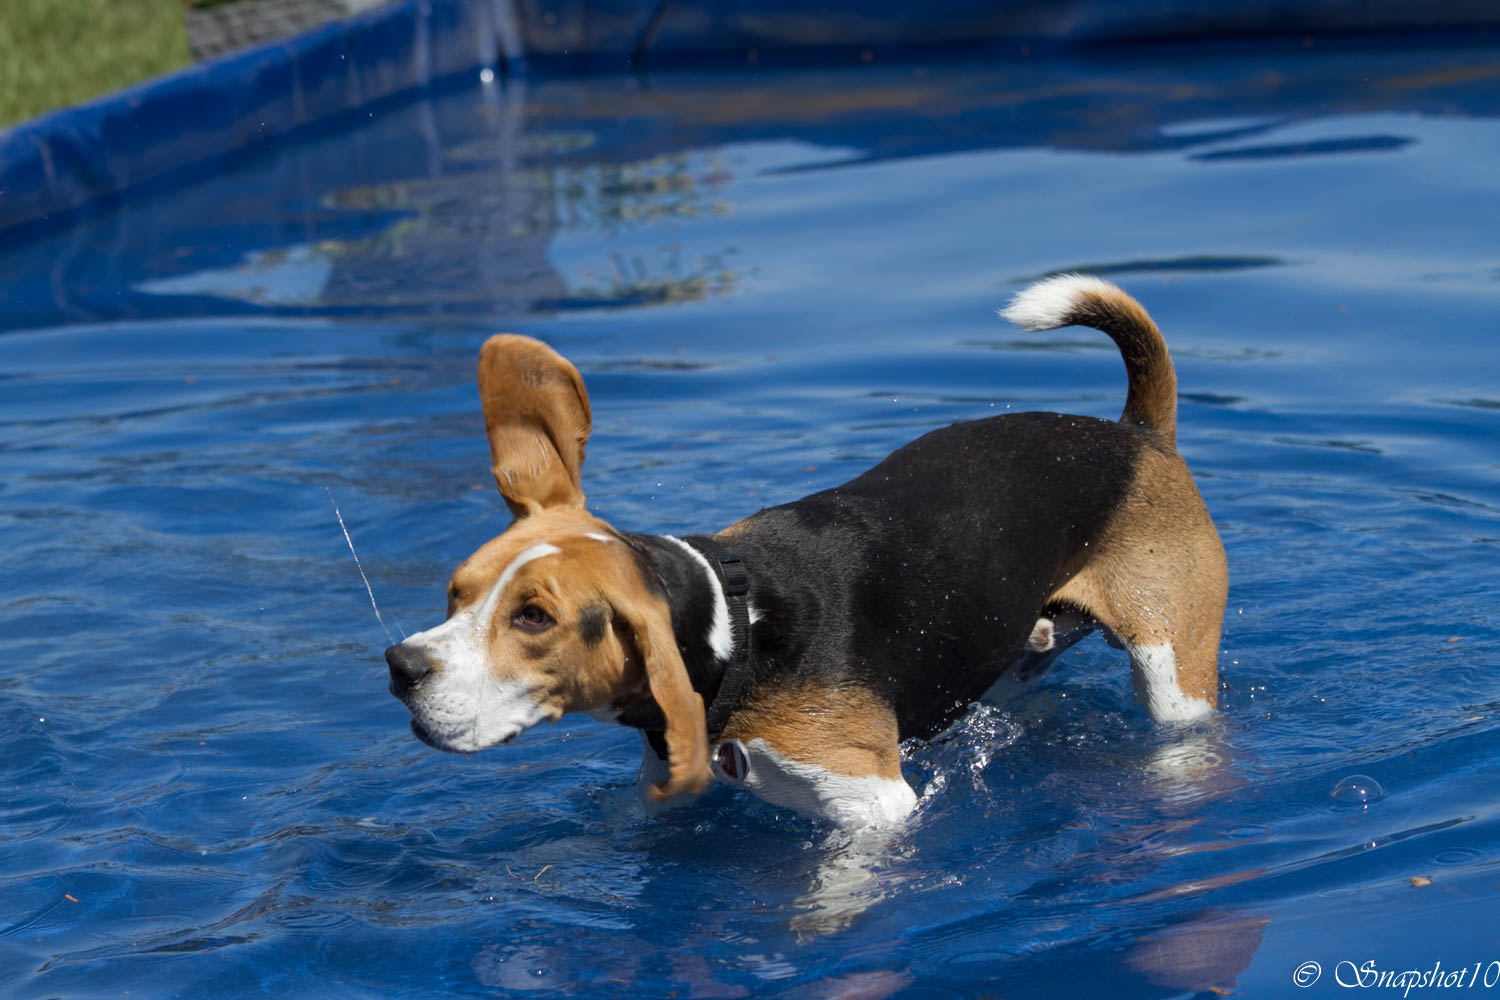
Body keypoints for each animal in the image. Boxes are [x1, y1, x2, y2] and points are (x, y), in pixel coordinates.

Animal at [387, 274, 1230, 827]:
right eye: (457, 592)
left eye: (533, 618)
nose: (400, 667)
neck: (738, 634)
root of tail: (1135, 436)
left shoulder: (876, 809)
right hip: (1008, 658)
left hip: (1172, 670)